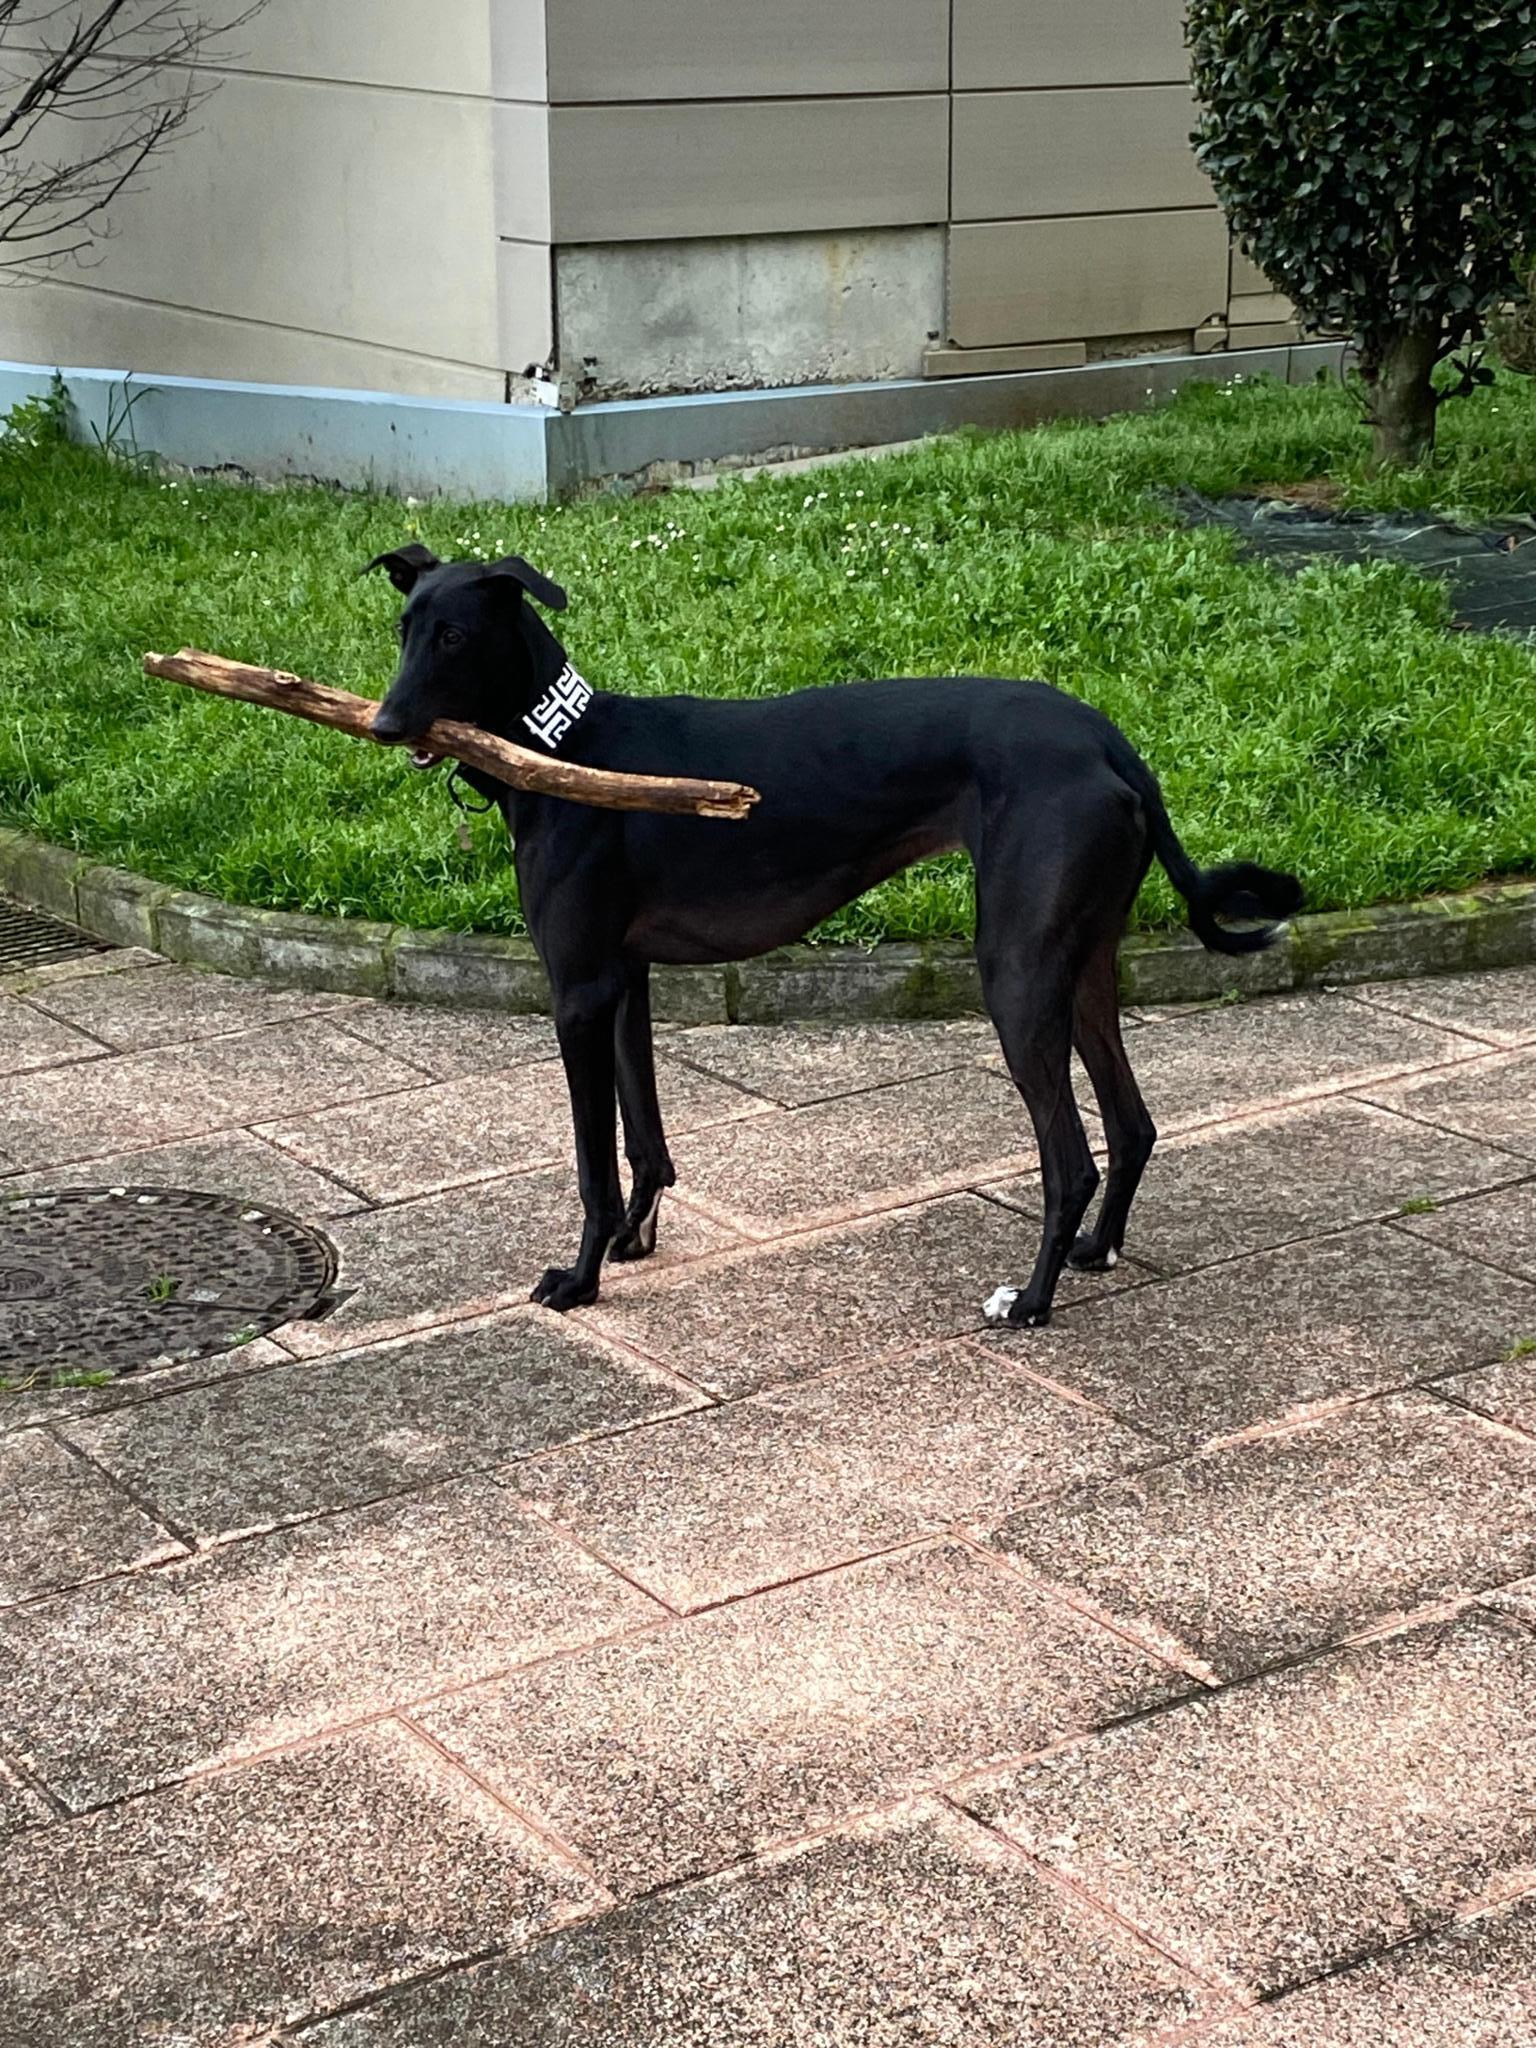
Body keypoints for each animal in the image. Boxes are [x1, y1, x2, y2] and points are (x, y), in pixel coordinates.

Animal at [366, 544, 1301, 1327]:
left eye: (454, 636)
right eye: (404, 628)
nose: (383, 724)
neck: (567, 748)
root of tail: (1108, 739)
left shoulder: (579, 993)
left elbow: (594, 1157)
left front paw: (581, 1279)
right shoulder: (625, 980)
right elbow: (646, 1136)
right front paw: (635, 1237)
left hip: (1019, 972)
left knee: (1071, 1157)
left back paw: (1031, 1300)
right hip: (1085, 963)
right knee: (1133, 1123)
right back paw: (1096, 1251)